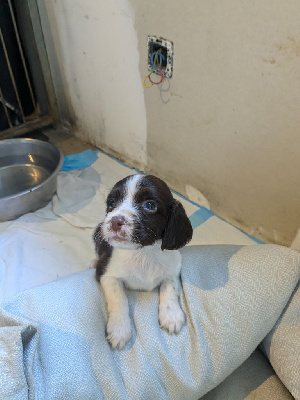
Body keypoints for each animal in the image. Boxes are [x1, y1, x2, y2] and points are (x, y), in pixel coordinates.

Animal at [92, 173, 193, 348]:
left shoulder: (173, 270)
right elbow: (119, 298)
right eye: (111, 203)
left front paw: (171, 315)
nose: (115, 221)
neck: (143, 253)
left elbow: (170, 288)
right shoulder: (107, 274)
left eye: (150, 205)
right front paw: (119, 329)